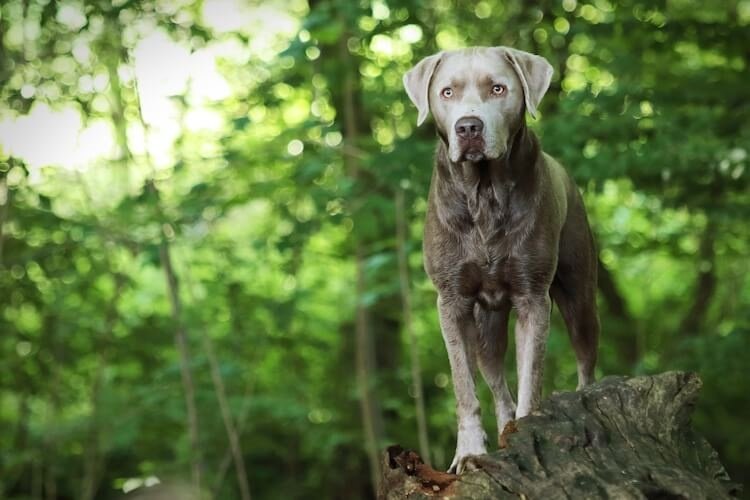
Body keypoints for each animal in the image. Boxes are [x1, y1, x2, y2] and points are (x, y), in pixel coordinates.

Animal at [402, 47, 604, 472]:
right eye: (447, 92)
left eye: (498, 88)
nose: (468, 127)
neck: (484, 194)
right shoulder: (452, 303)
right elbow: (464, 386)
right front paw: (469, 452)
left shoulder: (533, 298)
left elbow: (531, 376)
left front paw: (531, 434)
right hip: (487, 325)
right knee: (495, 379)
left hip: (579, 295)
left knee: (586, 359)